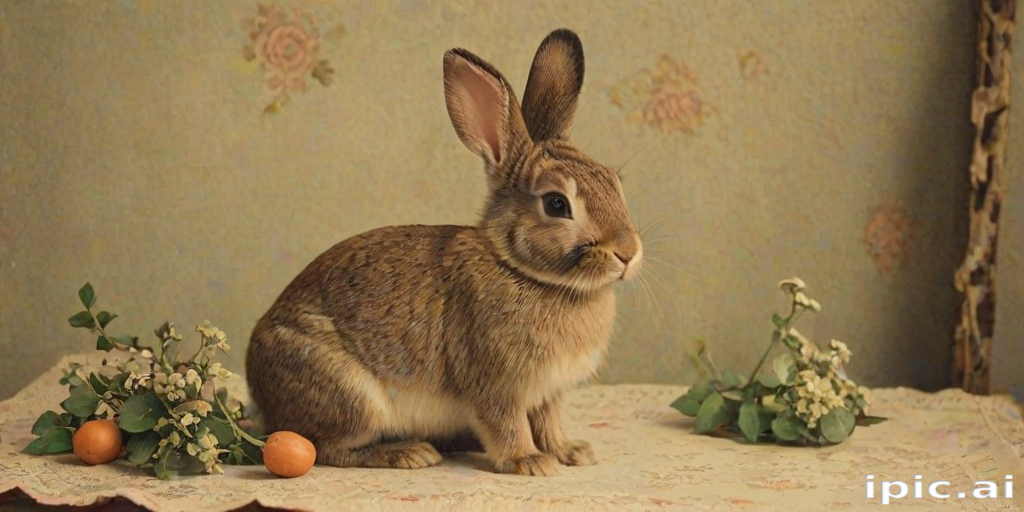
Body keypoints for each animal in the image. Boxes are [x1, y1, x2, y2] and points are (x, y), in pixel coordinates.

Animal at [245, 28, 643, 477]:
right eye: (557, 204)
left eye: (614, 182)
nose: (628, 253)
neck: (523, 271)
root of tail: (260, 391)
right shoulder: (495, 385)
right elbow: (507, 424)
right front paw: (529, 462)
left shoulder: (549, 393)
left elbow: (550, 422)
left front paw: (571, 452)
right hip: (351, 398)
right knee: (326, 447)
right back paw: (409, 453)